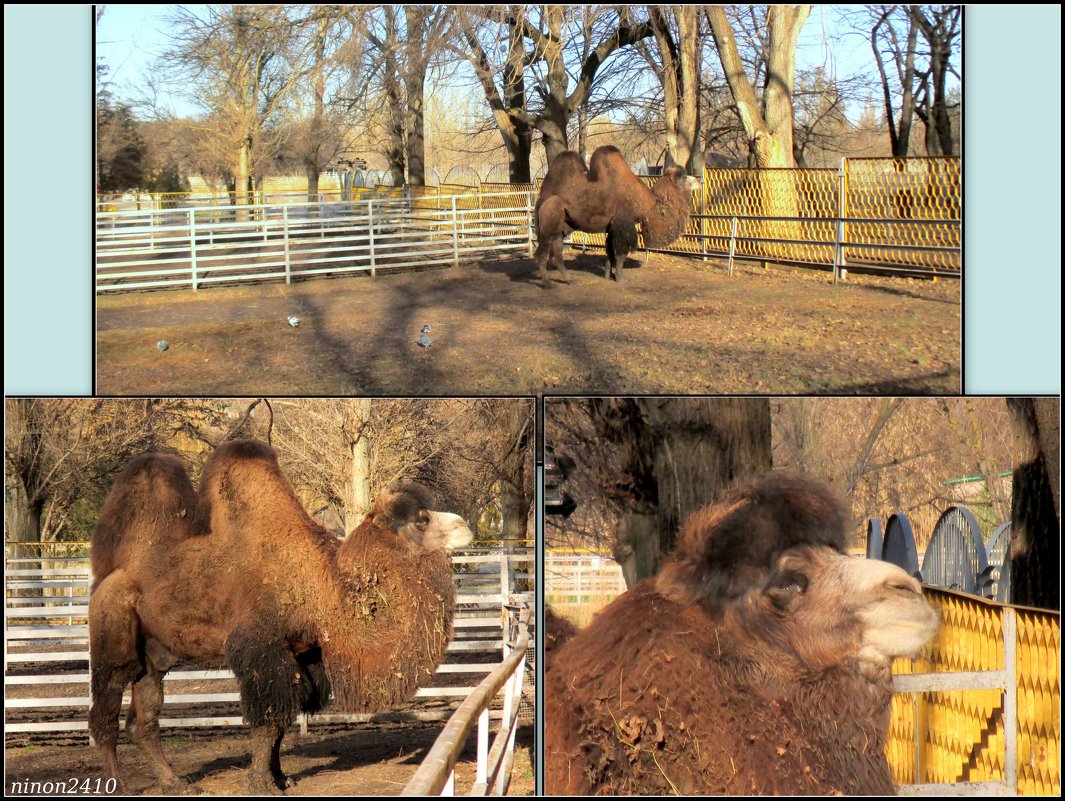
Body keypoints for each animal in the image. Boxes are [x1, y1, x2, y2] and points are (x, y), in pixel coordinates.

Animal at [89, 438, 472, 796]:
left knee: (144, 718)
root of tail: (108, 575)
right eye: (421, 519)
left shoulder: (305, 656)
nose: (464, 524)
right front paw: (262, 783)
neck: (325, 589)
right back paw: (118, 785)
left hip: (153, 654)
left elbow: (285, 719)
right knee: (105, 711)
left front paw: (281, 777)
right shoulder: (261, 649)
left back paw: (175, 783)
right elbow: (269, 720)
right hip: (111, 636)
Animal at [532, 145, 698, 285]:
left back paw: (570, 280)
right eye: (683, 177)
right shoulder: (623, 223)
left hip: (561, 227)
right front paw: (620, 278)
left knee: (557, 255)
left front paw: (608, 275)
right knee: (541, 253)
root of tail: (541, 198)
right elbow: (620, 253)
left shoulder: (612, 227)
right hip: (549, 221)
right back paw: (548, 284)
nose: (698, 180)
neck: (649, 202)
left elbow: (610, 252)